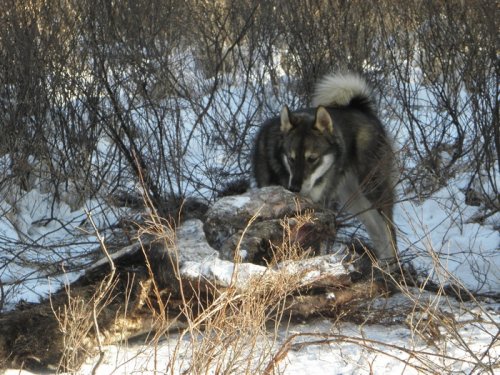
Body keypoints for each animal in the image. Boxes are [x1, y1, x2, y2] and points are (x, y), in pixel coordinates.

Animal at [254, 73, 398, 272]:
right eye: (291, 158)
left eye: (312, 159)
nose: (295, 188)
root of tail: (360, 108)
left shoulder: (320, 206)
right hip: (354, 198)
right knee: (377, 229)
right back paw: (384, 265)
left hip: (373, 189)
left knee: (389, 229)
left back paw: (394, 266)